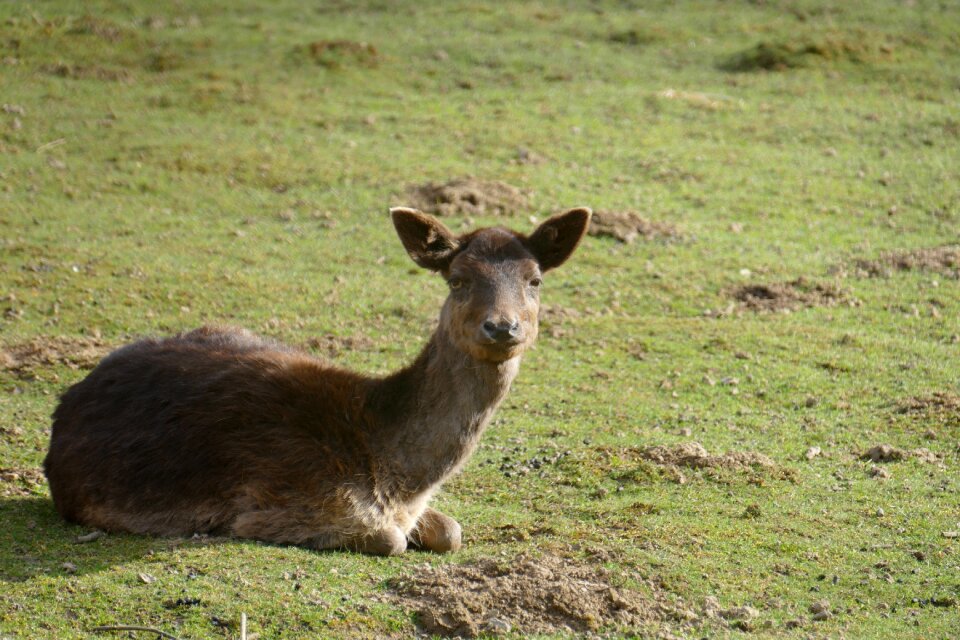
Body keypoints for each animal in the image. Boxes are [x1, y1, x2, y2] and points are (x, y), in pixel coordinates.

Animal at [45, 206, 592, 556]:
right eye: (457, 279)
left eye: (535, 280)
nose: (502, 327)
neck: (396, 478)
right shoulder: (282, 501)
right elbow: (392, 541)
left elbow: (452, 531)